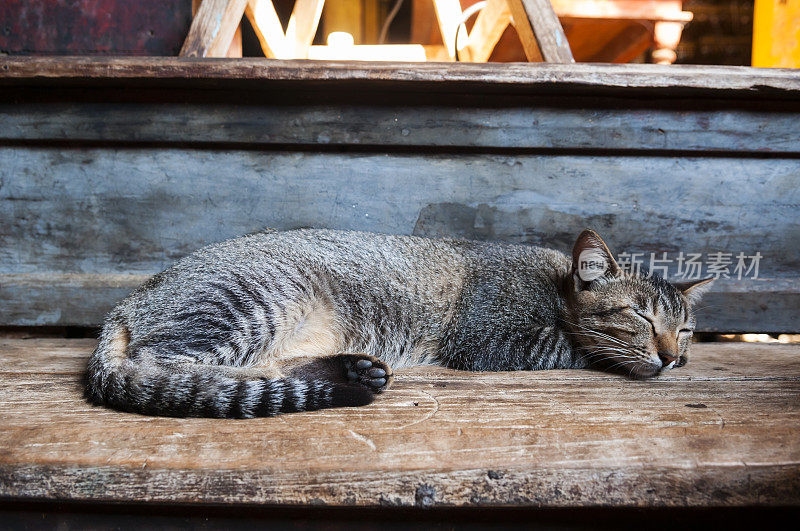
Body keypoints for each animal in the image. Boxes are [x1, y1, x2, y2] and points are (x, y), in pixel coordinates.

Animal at [86, 229, 712, 420]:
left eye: (685, 330)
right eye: (639, 315)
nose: (674, 356)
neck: (556, 287)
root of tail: (128, 302)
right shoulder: (493, 338)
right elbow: (580, 348)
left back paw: (351, 374)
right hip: (249, 302)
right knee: (173, 372)